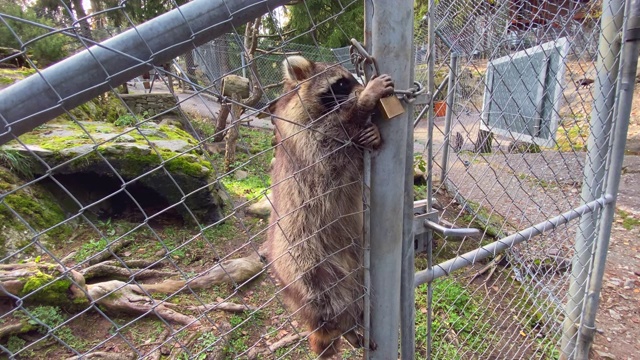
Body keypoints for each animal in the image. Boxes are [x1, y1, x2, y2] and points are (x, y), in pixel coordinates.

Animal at [264, 56, 396, 358]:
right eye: (341, 83)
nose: (360, 89)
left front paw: (372, 134)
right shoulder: (303, 141)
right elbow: (330, 146)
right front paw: (364, 101)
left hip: (356, 267)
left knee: (358, 294)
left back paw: (356, 324)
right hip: (304, 266)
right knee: (328, 303)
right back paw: (343, 328)